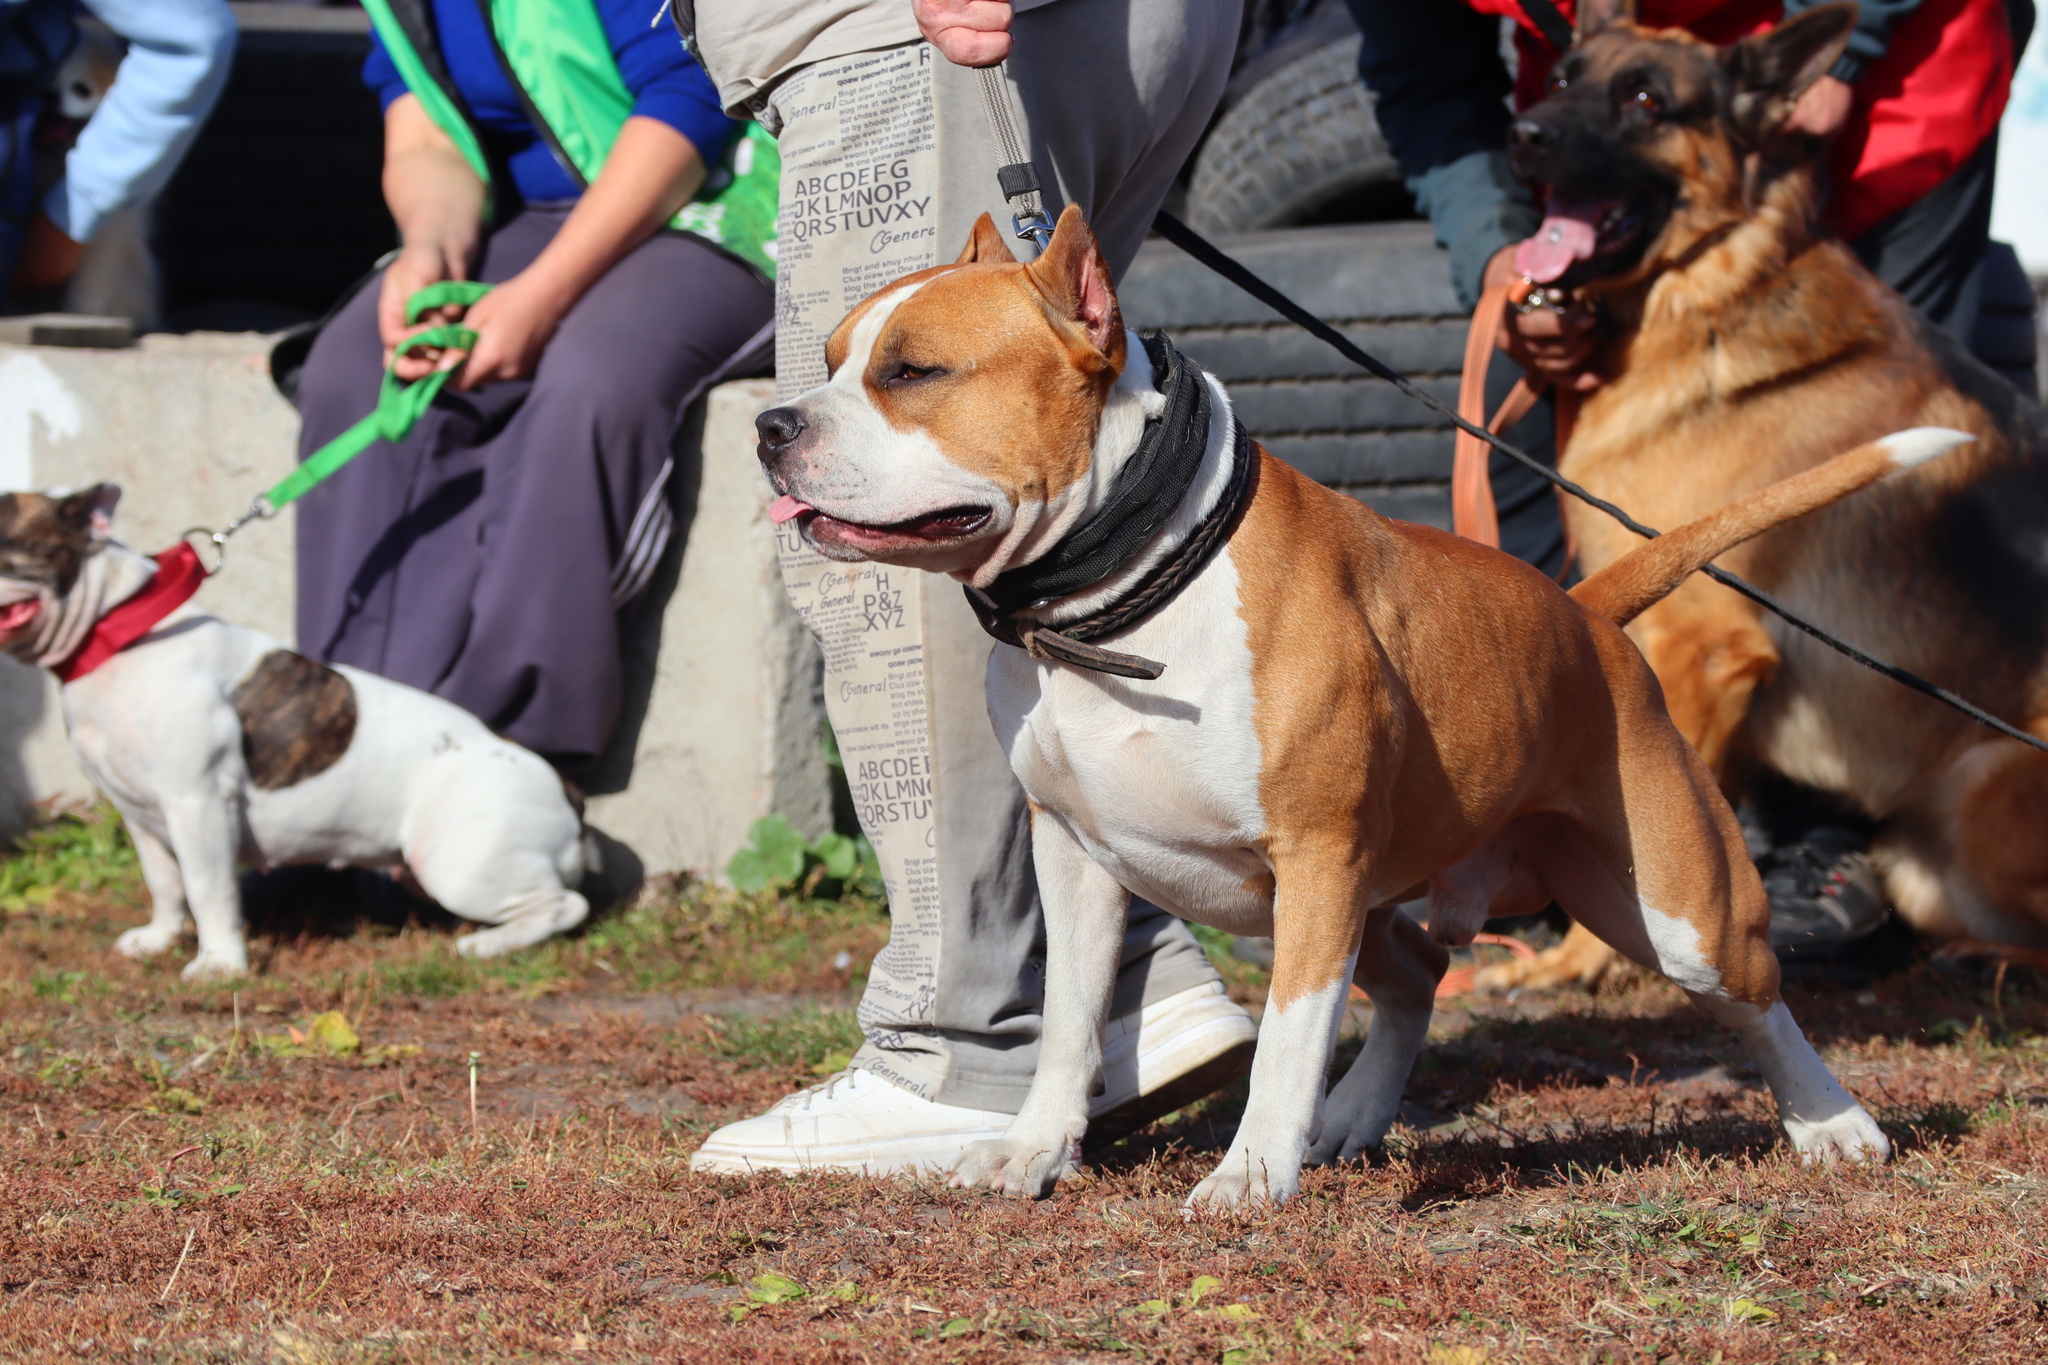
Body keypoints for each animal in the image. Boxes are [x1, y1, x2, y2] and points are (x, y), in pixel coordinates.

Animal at [0, 485, 593, 978]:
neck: (116, 633)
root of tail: (565, 789)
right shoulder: (141, 816)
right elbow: (165, 885)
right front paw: (158, 939)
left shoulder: (197, 805)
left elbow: (207, 890)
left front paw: (219, 965)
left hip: (457, 861)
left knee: (565, 905)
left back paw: (487, 944)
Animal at [765, 208, 1949, 1211]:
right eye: (826, 361)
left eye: (913, 371)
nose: (773, 424)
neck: (1124, 595)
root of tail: (1584, 613)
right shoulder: (1079, 857)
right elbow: (1066, 1023)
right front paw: (1032, 1151)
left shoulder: (1317, 853)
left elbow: (1286, 1036)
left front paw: (1249, 1175)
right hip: (1380, 900)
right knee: (1419, 975)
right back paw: (1351, 1118)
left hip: (1671, 901)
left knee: (1753, 992)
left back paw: (1831, 1122)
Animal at [1482, 0, 2048, 994]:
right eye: (1562, 77)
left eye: (1646, 100)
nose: (1524, 135)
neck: (1712, 293)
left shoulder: (1702, 647)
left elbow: (1641, 843)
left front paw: (1581, 961)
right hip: (1925, 850)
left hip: (1989, 779)